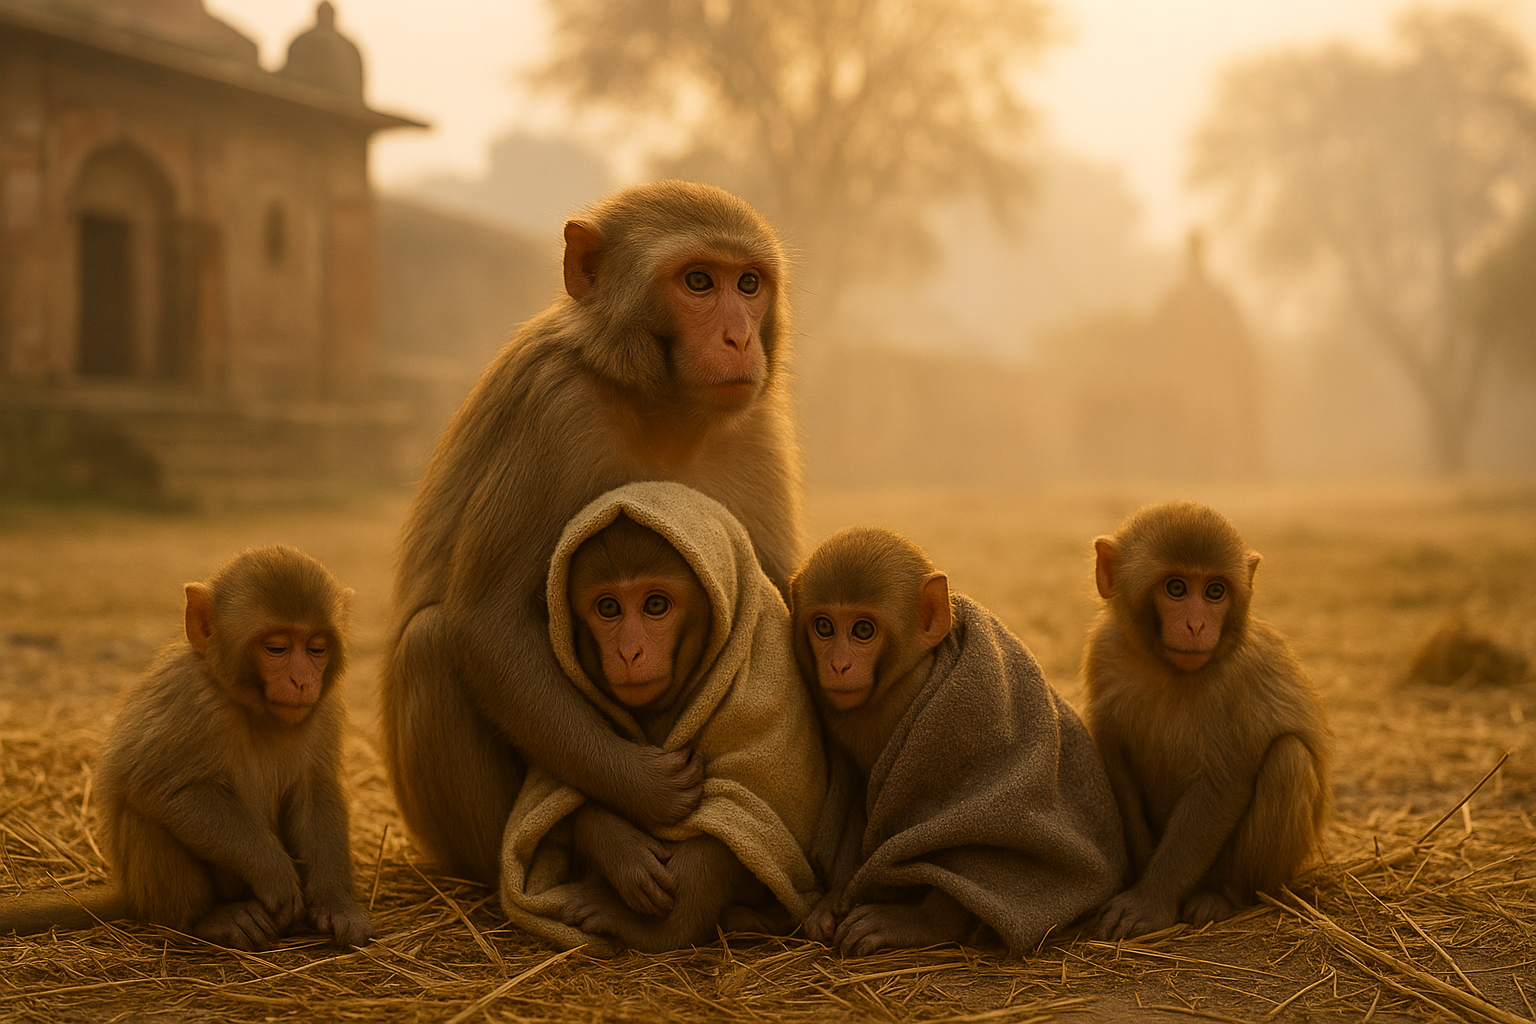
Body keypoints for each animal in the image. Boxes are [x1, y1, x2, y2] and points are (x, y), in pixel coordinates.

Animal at [0, 546, 372, 951]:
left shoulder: (324, 710)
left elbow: (315, 793)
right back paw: (209, 918)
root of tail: (131, 892)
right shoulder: (191, 697)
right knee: (146, 811)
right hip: (152, 894)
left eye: (317, 648)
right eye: (277, 648)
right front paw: (273, 871)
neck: (255, 711)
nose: (302, 681)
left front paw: (336, 903)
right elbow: (166, 787)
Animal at [381, 181, 803, 884]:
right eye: (697, 281)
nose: (740, 338)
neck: (662, 406)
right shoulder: (555, 408)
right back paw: (585, 840)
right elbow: (486, 620)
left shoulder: (755, 424)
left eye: (748, 284)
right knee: (429, 644)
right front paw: (642, 788)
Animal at [791, 528, 1127, 957]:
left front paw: (917, 921)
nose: (838, 665)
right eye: (824, 627)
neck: (903, 678)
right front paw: (835, 897)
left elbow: (963, 839)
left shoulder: (968, 717)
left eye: (862, 630)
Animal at [1083, 501, 1332, 940]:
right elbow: (1111, 753)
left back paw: (1223, 894)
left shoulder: (1238, 678)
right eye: (1176, 588)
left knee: (1288, 759)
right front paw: (1140, 879)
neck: (1166, 669)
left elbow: (1221, 784)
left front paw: (1149, 901)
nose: (1197, 625)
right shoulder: (1105, 649)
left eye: (1215, 591)